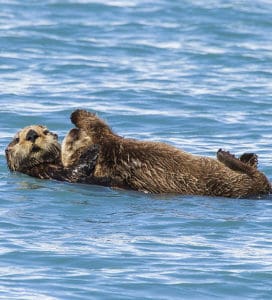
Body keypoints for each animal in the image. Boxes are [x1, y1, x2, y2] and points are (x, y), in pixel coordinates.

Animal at [60, 109, 270, 198]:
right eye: (69, 143)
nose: (72, 132)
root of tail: (263, 191)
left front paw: (74, 114)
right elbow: (97, 127)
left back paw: (247, 156)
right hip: (238, 184)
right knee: (257, 176)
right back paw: (228, 155)